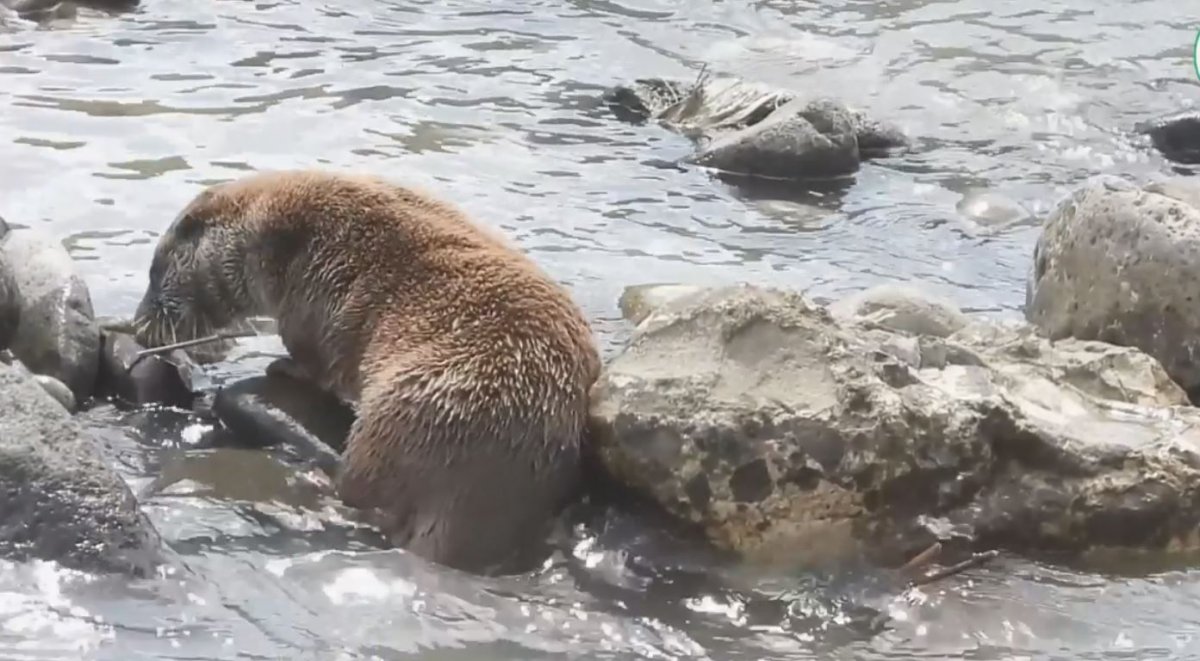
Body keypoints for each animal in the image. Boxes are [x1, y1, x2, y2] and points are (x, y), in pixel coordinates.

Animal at [133, 169, 600, 573]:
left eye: (155, 273)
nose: (138, 324)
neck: (274, 241)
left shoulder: (308, 308)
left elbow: (311, 360)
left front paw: (280, 366)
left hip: (397, 409)